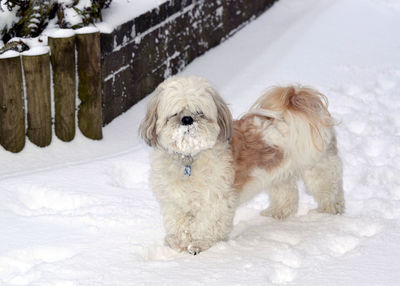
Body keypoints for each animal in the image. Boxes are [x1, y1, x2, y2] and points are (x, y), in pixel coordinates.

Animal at [138, 76, 344, 255]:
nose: (187, 119)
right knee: (287, 196)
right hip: (279, 174)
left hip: (318, 168)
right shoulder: (174, 202)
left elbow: (207, 223)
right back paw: (277, 213)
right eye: (174, 114)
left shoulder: (216, 199)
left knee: (330, 191)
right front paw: (178, 243)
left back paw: (328, 212)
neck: (189, 158)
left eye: (200, 112)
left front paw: (199, 244)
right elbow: (178, 223)